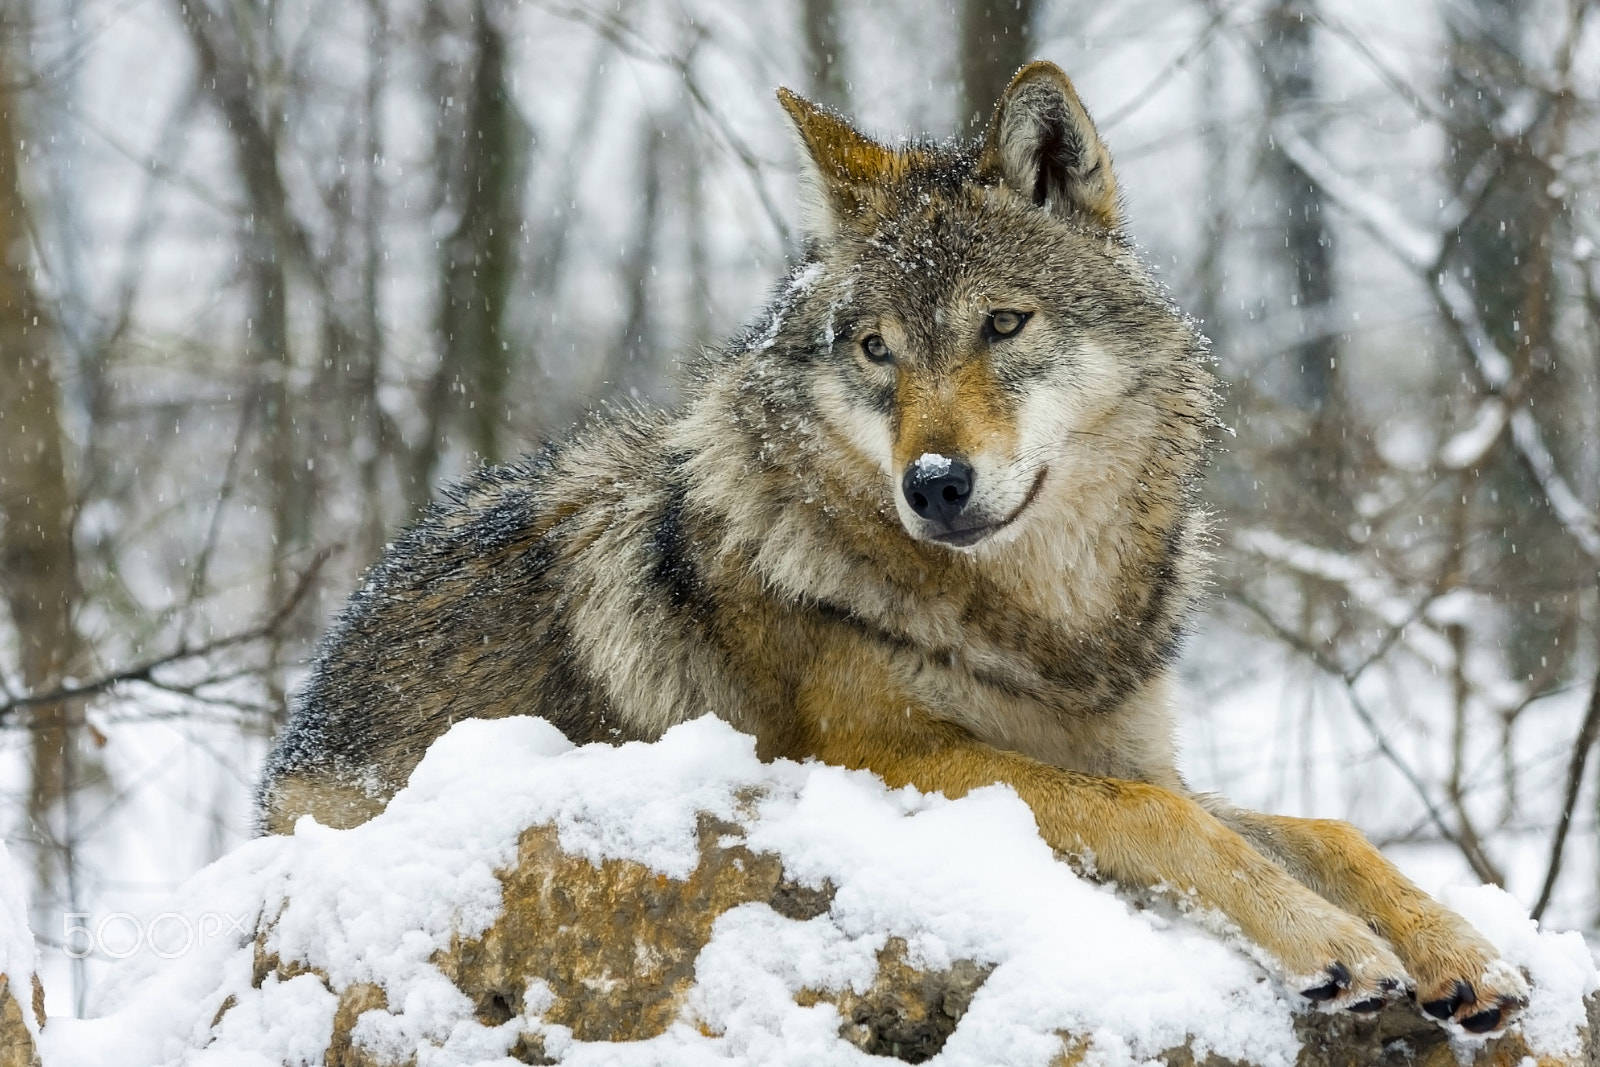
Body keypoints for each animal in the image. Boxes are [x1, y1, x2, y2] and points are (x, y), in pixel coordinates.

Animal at [259, 61, 1527, 1033]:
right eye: (875, 348)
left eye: (1003, 324)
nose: (933, 483)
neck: (1043, 622)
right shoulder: (887, 758)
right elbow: (1159, 818)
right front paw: (1329, 941)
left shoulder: (1128, 748)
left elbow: (1321, 827)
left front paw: (1458, 945)